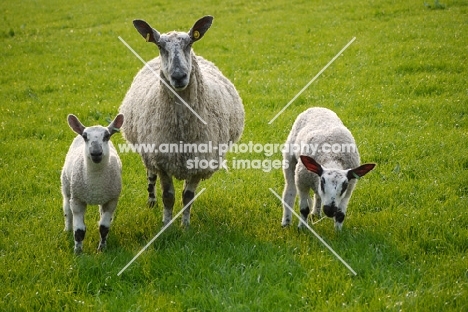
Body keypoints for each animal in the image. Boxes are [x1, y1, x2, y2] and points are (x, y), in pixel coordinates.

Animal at [61, 113, 124, 252]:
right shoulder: (77, 200)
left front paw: (102, 249)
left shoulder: (111, 200)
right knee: (67, 209)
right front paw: (78, 252)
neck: (95, 183)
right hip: (66, 186)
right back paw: (67, 229)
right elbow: (79, 231)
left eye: (107, 136)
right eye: (85, 136)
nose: (96, 153)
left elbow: (104, 228)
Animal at [119, 16, 245, 227]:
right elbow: (168, 197)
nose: (178, 76)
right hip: (147, 148)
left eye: (189, 43)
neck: (183, 129)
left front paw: (185, 225)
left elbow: (187, 197)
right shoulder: (162, 160)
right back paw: (151, 201)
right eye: (160, 46)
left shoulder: (199, 162)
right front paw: (166, 224)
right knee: (150, 174)